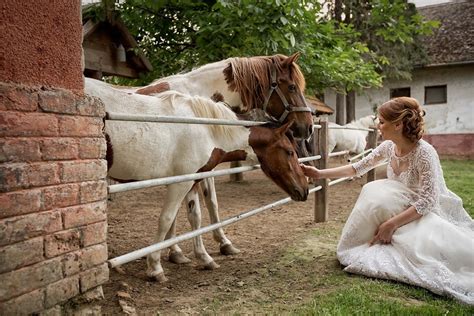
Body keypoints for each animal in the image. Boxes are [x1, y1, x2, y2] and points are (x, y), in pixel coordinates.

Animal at [84, 78, 310, 282]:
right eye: (290, 152)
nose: (305, 189)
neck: (207, 130)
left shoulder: (193, 180)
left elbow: (196, 217)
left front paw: (204, 257)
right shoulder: (180, 183)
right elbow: (166, 220)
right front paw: (155, 267)